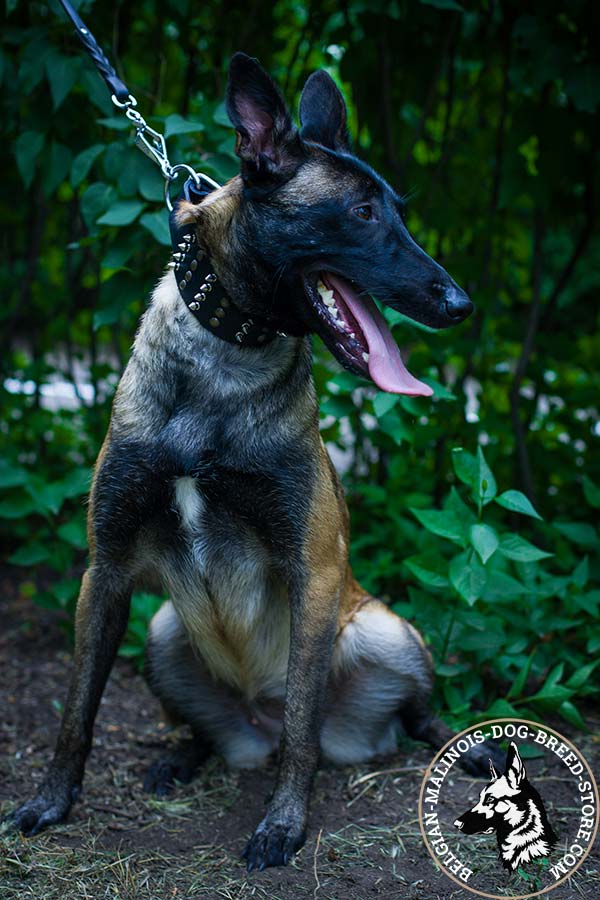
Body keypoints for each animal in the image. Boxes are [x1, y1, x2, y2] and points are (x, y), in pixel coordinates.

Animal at [7, 52, 496, 868]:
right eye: (363, 213)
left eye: (397, 208)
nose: (460, 304)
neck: (224, 361)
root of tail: (252, 725)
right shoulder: (105, 569)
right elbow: (77, 710)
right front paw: (49, 803)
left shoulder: (314, 571)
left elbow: (302, 726)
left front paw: (282, 826)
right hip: (162, 631)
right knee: (206, 730)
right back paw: (182, 756)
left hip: (385, 630)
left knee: (390, 719)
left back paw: (466, 747)